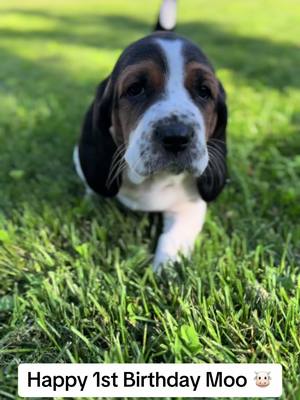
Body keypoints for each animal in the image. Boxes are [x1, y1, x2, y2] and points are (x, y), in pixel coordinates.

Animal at [74, 0, 229, 272]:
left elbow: (173, 238)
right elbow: (93, 189)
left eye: (203, 91)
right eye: (135, 89)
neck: (152, 181)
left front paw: (165, 270)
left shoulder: (191, 206)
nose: (177, 136)